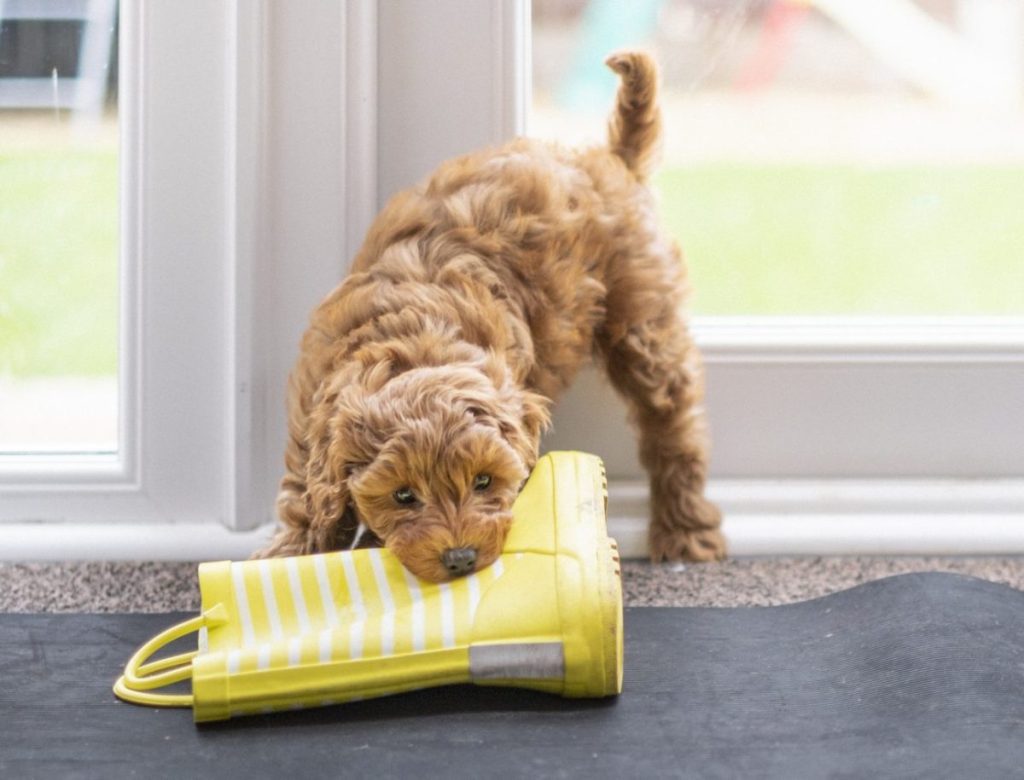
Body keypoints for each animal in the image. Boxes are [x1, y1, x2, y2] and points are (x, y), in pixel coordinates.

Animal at [260, 51, 733, 577]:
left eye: (483, 481)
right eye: (403, 495)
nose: (460, 558)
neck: (414, 341)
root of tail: (606, 159)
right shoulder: (310, 418)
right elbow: (305, 500)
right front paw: (288, 557)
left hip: (643, 315)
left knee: (673, 426)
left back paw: (685, 530)